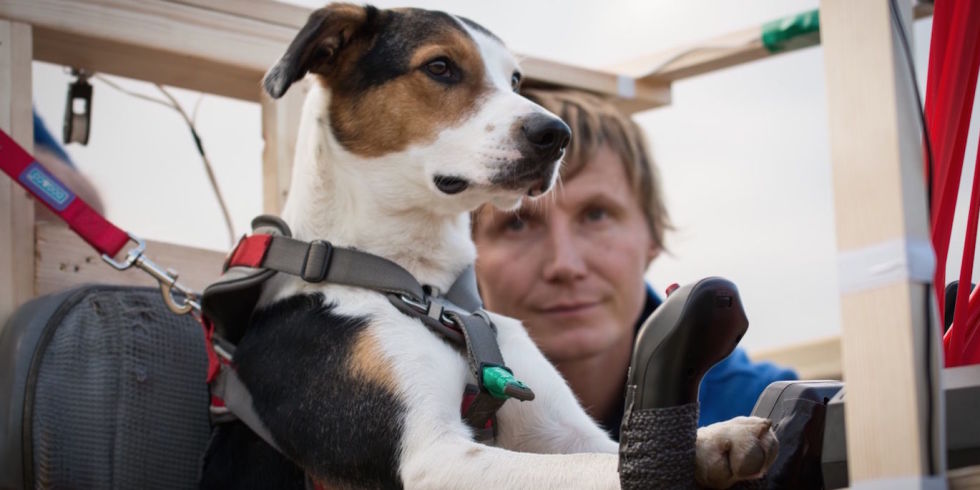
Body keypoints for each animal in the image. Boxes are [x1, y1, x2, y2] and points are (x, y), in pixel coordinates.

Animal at [201, 3, 772, 490]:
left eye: (515, 80)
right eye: (440, 67)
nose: (556, 134)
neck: (421, 284)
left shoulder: (562, 430)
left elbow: (606, 451)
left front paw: (718, 438)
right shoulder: (434, 455)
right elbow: (595, 469)